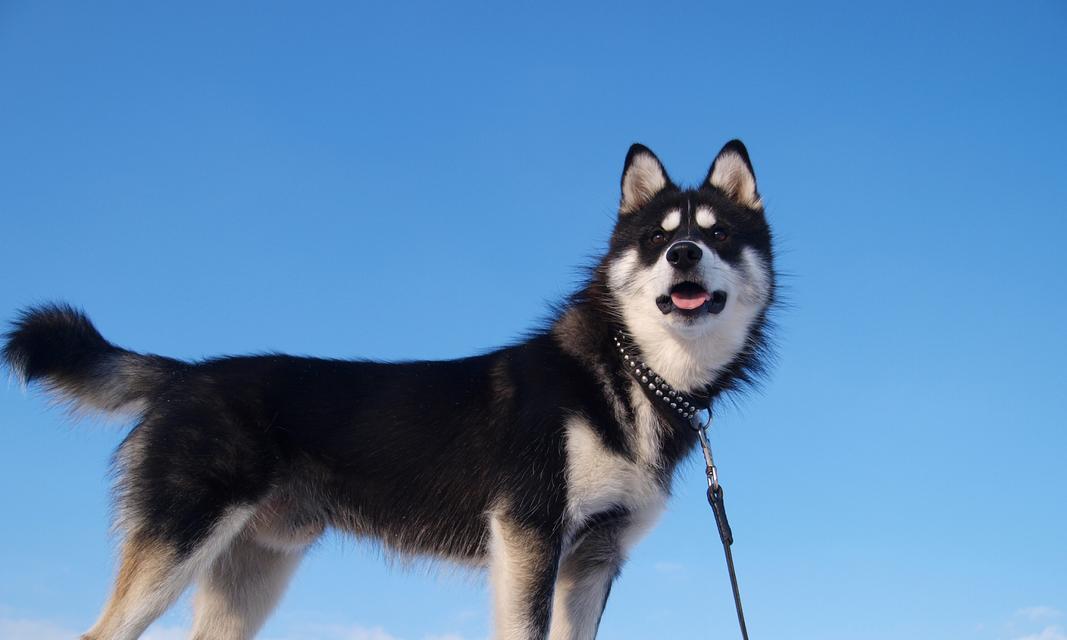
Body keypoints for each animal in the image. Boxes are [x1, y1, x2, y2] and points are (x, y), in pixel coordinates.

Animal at [4, 140, 781, 640]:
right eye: (655, 238)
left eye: (719, 236)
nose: (683, 253)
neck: (624, 373)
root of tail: (188, 372)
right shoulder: (528, 538)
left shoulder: (592, 561)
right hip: (179, 543)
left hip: (252, 571)